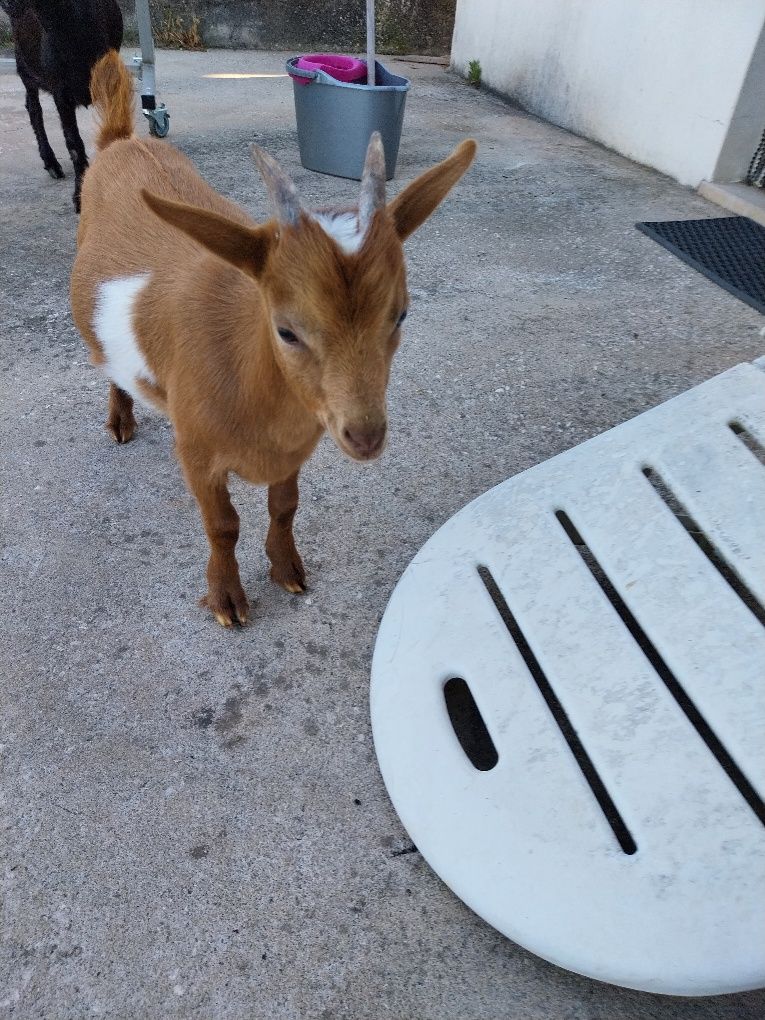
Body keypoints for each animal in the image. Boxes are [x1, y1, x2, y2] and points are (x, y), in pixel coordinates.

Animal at [2, 0, 122, 211]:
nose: (6, 4)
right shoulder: (61, 91)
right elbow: (73, 143)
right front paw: (80, 196)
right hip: (25, 67)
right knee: (34, 109)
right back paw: (51, 162)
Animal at [73, 51, 479, 624]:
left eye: (401, 314)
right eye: (285, 329)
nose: (366, 436)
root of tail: (122, 139)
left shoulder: (296, 449)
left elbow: (284, 507)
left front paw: (287, 568)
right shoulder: (195, 453)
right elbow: (222, 526)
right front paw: (227, 598)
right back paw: (120, 420)